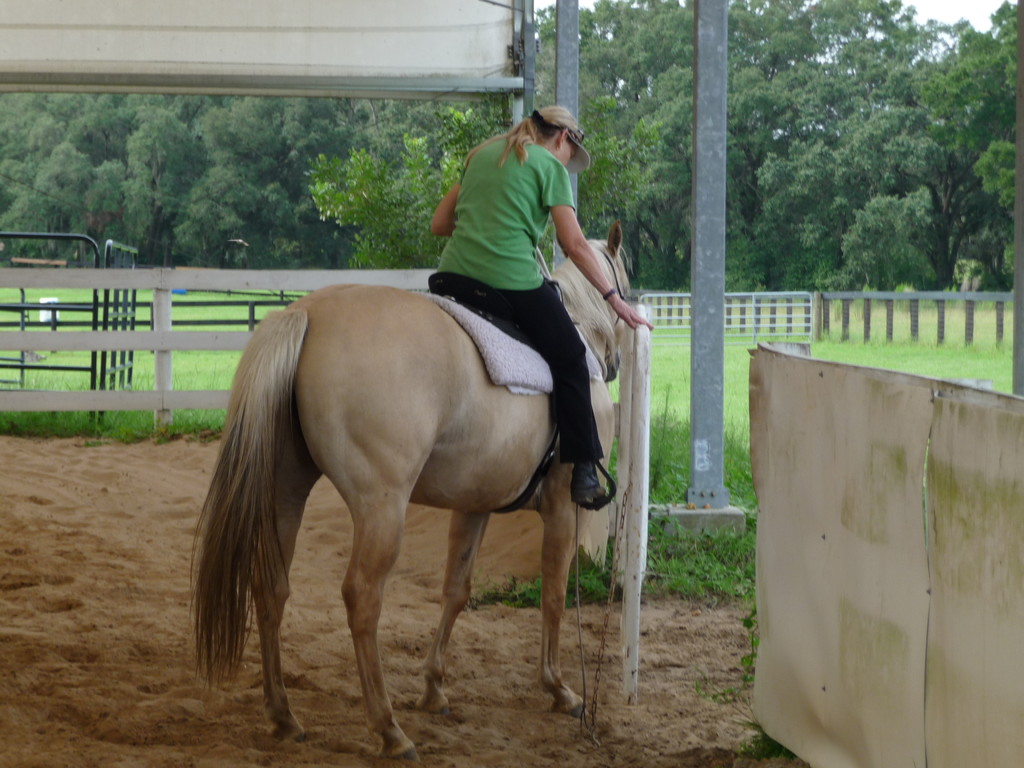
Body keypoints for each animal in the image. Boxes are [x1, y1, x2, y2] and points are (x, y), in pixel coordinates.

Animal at [192, 221, 633, 760]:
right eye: (624, 281)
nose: (614, 362)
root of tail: (306, 313)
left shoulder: (474, 506)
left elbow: (456, 591)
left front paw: (433, 687)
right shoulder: (561, 507)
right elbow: (552, 592)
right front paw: (559, 688)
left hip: (285, 493)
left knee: (271, 586)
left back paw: (283, 716)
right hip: (382, 507)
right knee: (362, 597)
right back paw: (388, 729)